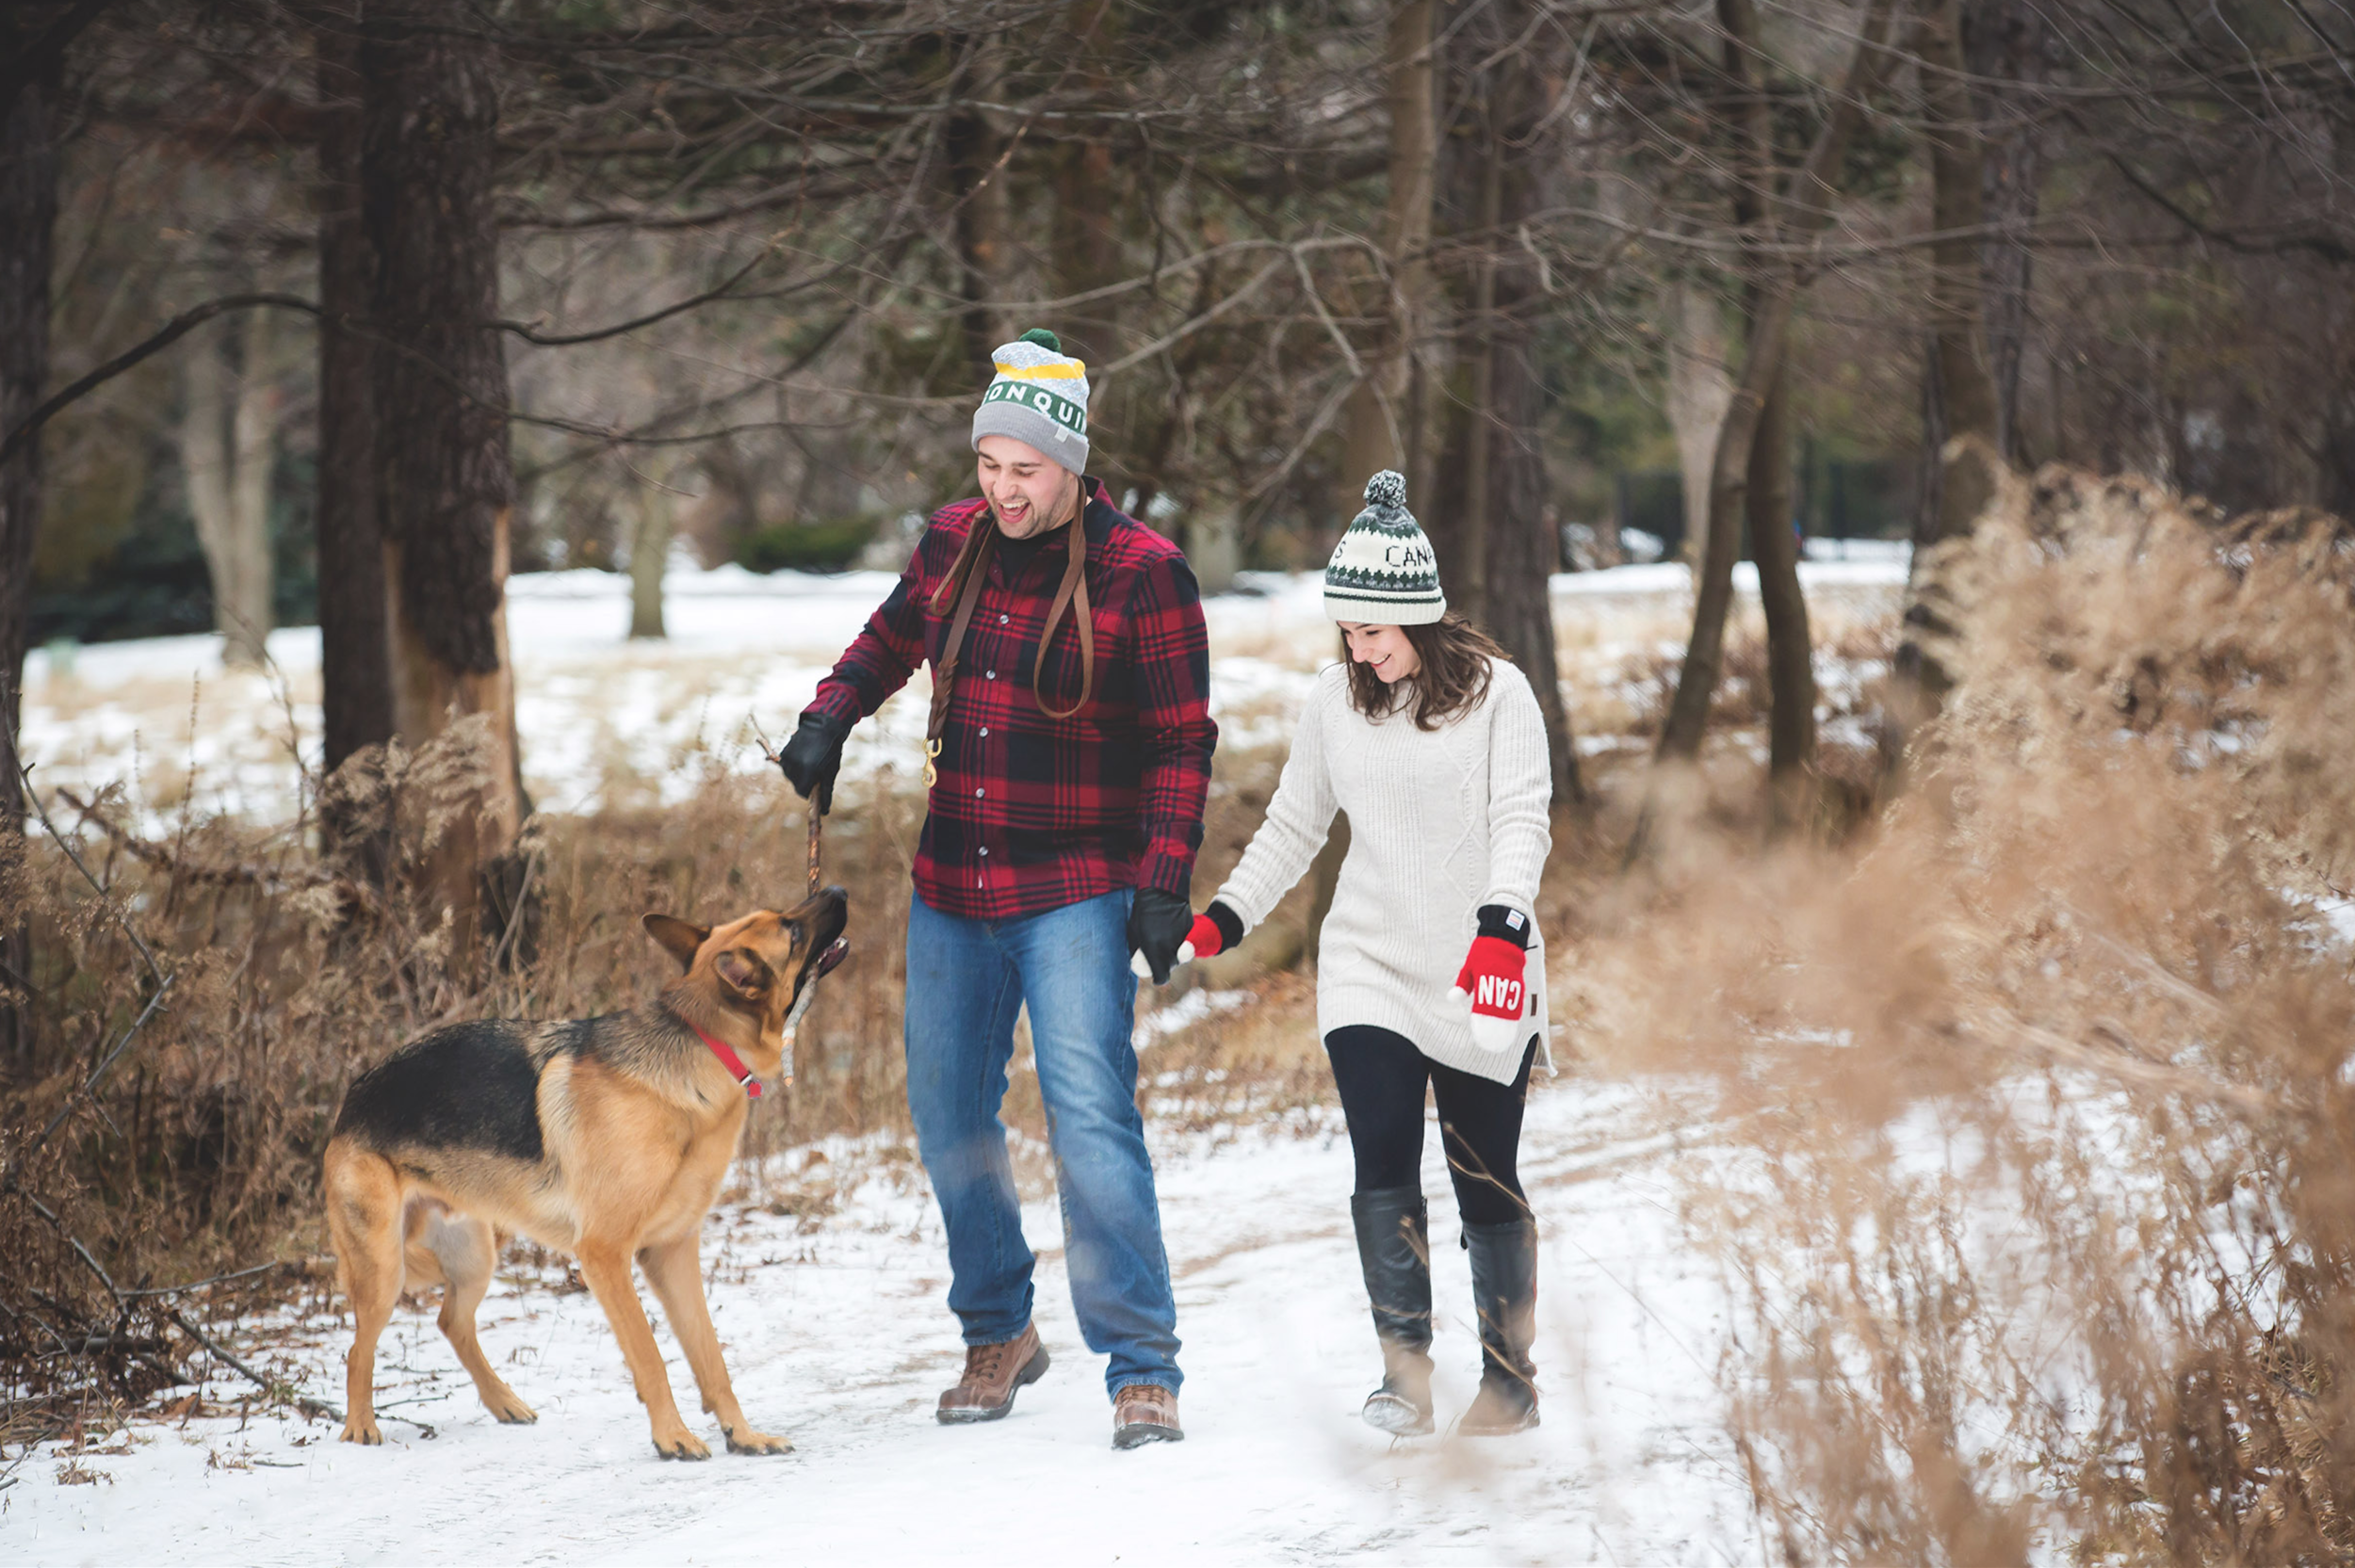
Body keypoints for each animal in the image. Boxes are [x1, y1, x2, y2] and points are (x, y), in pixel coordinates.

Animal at [325, 885, 848, 1460]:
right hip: (385, 1271)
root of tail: (352, 1097)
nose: (837, 890)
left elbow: (712, 1358)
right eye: (790, 929)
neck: (701, 1046)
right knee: (357, 1351)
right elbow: (651, 1356)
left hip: (474, 1256)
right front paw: (673, 1437)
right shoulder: (606, 1255)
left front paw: (743, 1434)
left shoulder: (672, 1254)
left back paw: (504, 1402)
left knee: (452, 1321)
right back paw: (361, 1427)